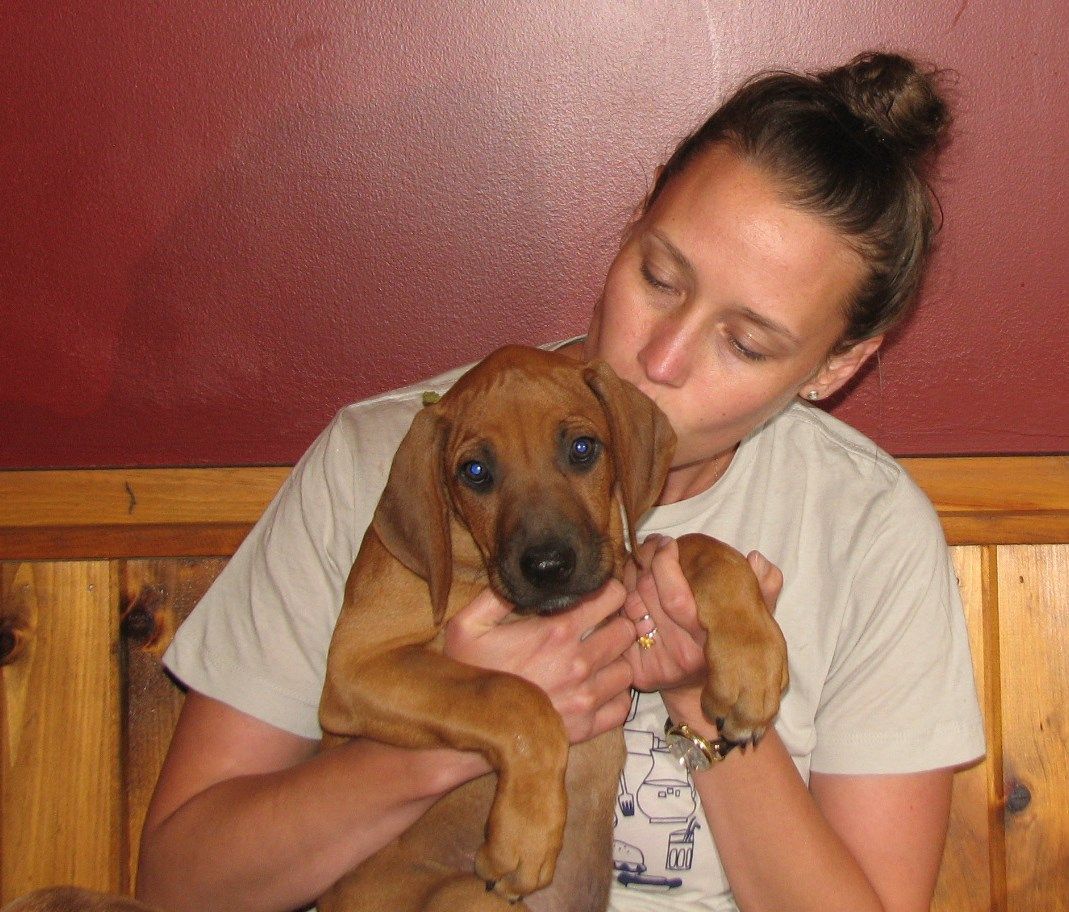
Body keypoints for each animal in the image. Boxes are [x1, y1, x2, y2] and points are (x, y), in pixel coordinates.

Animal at [317, 345, 788, 912]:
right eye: (474, 471)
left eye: (583, 449)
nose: (548, 567)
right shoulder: (356, 666)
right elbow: (512, 696)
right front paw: (526, 835)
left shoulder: (622, 577)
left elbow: (703, 548)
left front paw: (751, 666)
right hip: (470, 898)